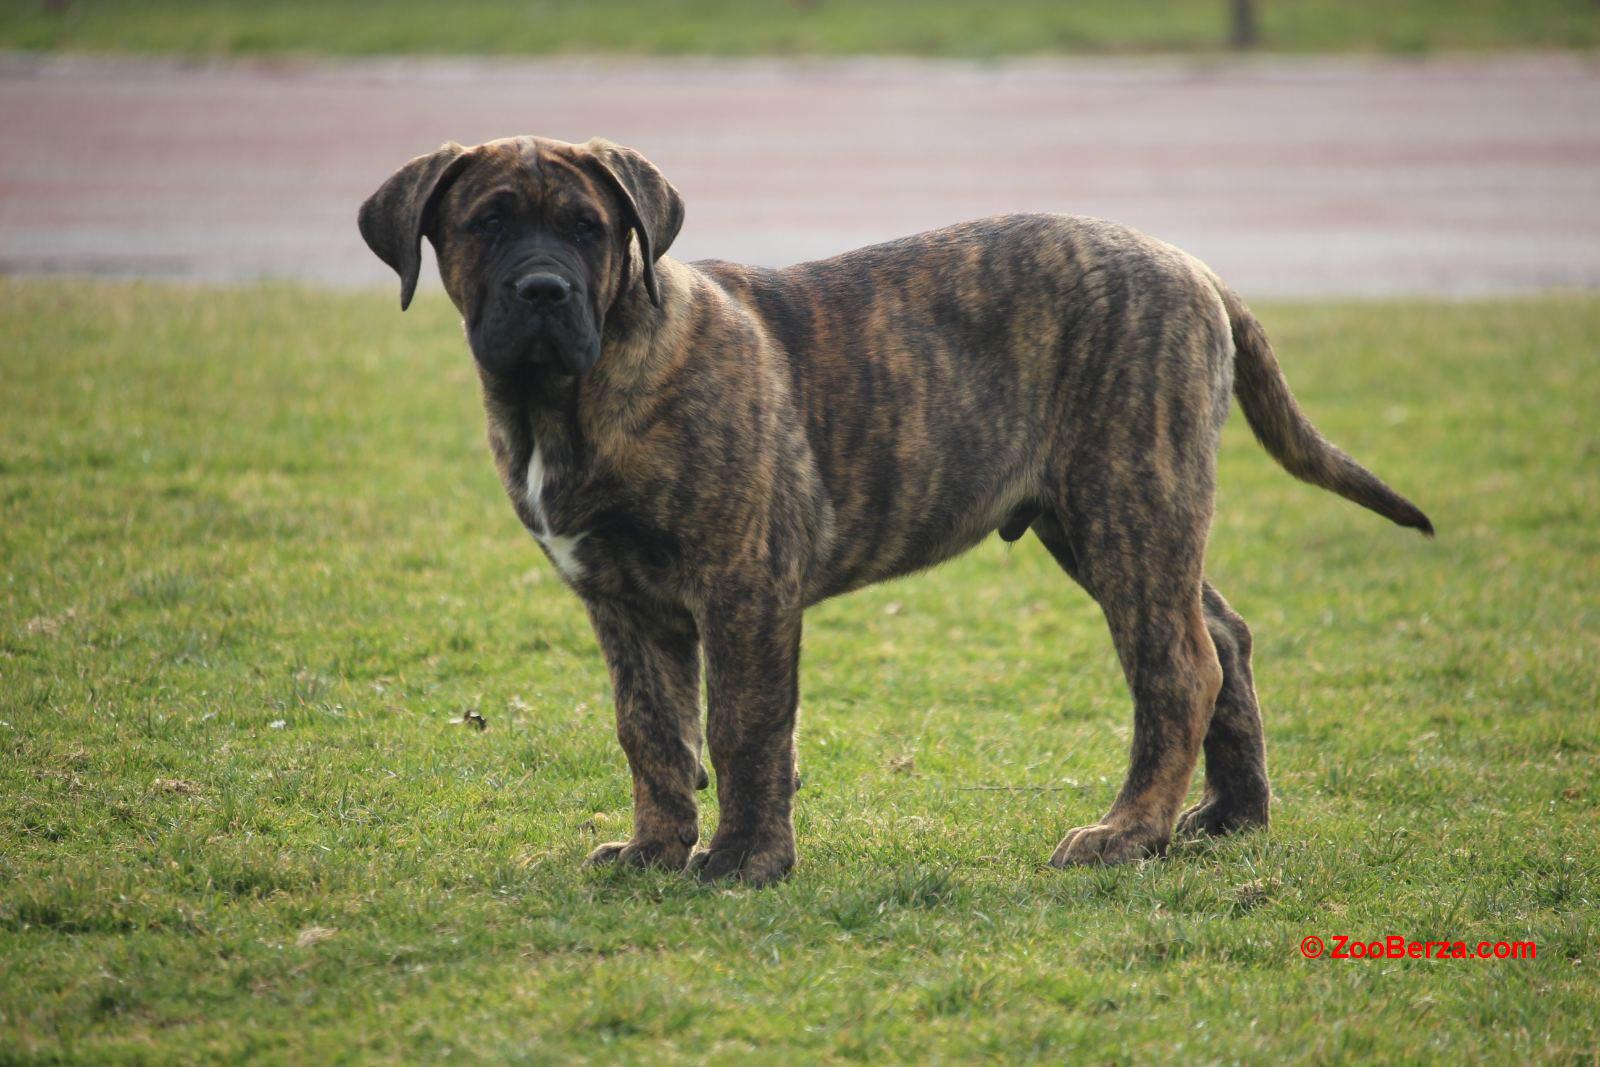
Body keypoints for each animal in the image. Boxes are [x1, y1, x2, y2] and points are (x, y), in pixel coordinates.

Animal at [363, 135, 1440, 883]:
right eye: (487, 223)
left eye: (588, 229)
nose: (544, 290)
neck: (569, 398)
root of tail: (1192, 265)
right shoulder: (623, 605)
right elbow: (653, 733)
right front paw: (655, 849)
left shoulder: (744, 584)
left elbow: (743, 727)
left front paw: (745, 860)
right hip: (1112, 517)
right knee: (1223, 632)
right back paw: (1230, 815)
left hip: (1129, 500)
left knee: (1180, 665)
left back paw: (1128, 831)